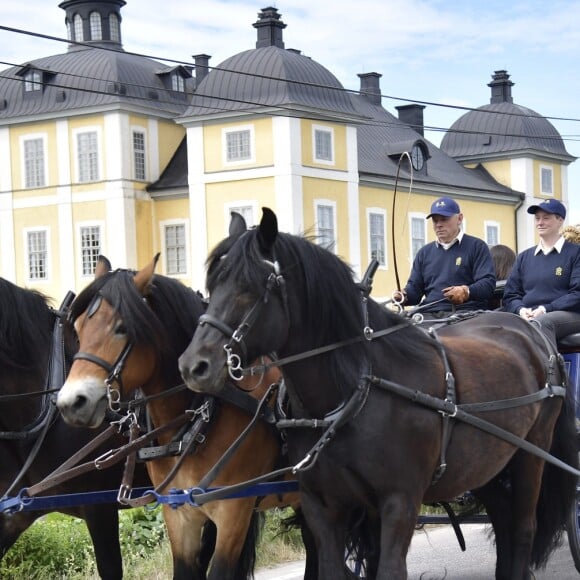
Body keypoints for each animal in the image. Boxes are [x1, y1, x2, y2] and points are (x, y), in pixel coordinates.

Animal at [55, 260, 302, 580]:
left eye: (122, 328)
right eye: (79, 328)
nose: (71, 402)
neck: (202, 414)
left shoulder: (233, 512)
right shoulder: (179, 513)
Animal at [179, 208, 576, 580]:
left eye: (250, 286)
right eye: (212, 285)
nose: (193, 365)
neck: (357, 390)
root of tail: (532, 330)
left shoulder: (399, 502)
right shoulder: (322, 506)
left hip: (531, 454)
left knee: (523, 528)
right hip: (486, 464)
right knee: (504, 520)